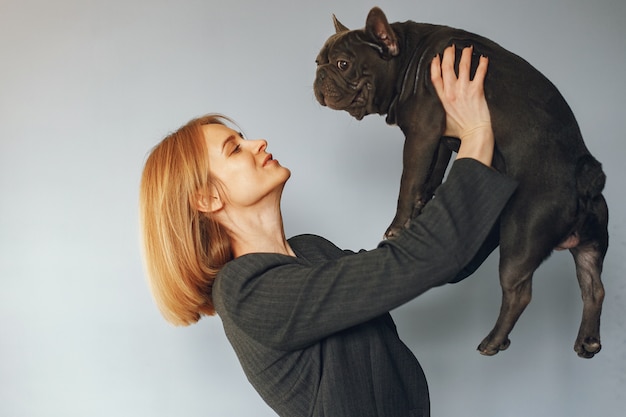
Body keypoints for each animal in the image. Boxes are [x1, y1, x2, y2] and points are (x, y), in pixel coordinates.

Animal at [314, 6, 608, 358]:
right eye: (318, 62)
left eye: (343, 64)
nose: (319, 76)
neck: (408, 55)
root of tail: (584, 175)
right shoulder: (439, 140)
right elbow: (429, 177)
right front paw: (421, 210)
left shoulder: (422, 134)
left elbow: (408, 181)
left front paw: (397, 227)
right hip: (591, 244)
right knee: (593, 287)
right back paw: (588, 340)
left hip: (521, 237)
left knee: (519, 291)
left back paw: (493, 341)